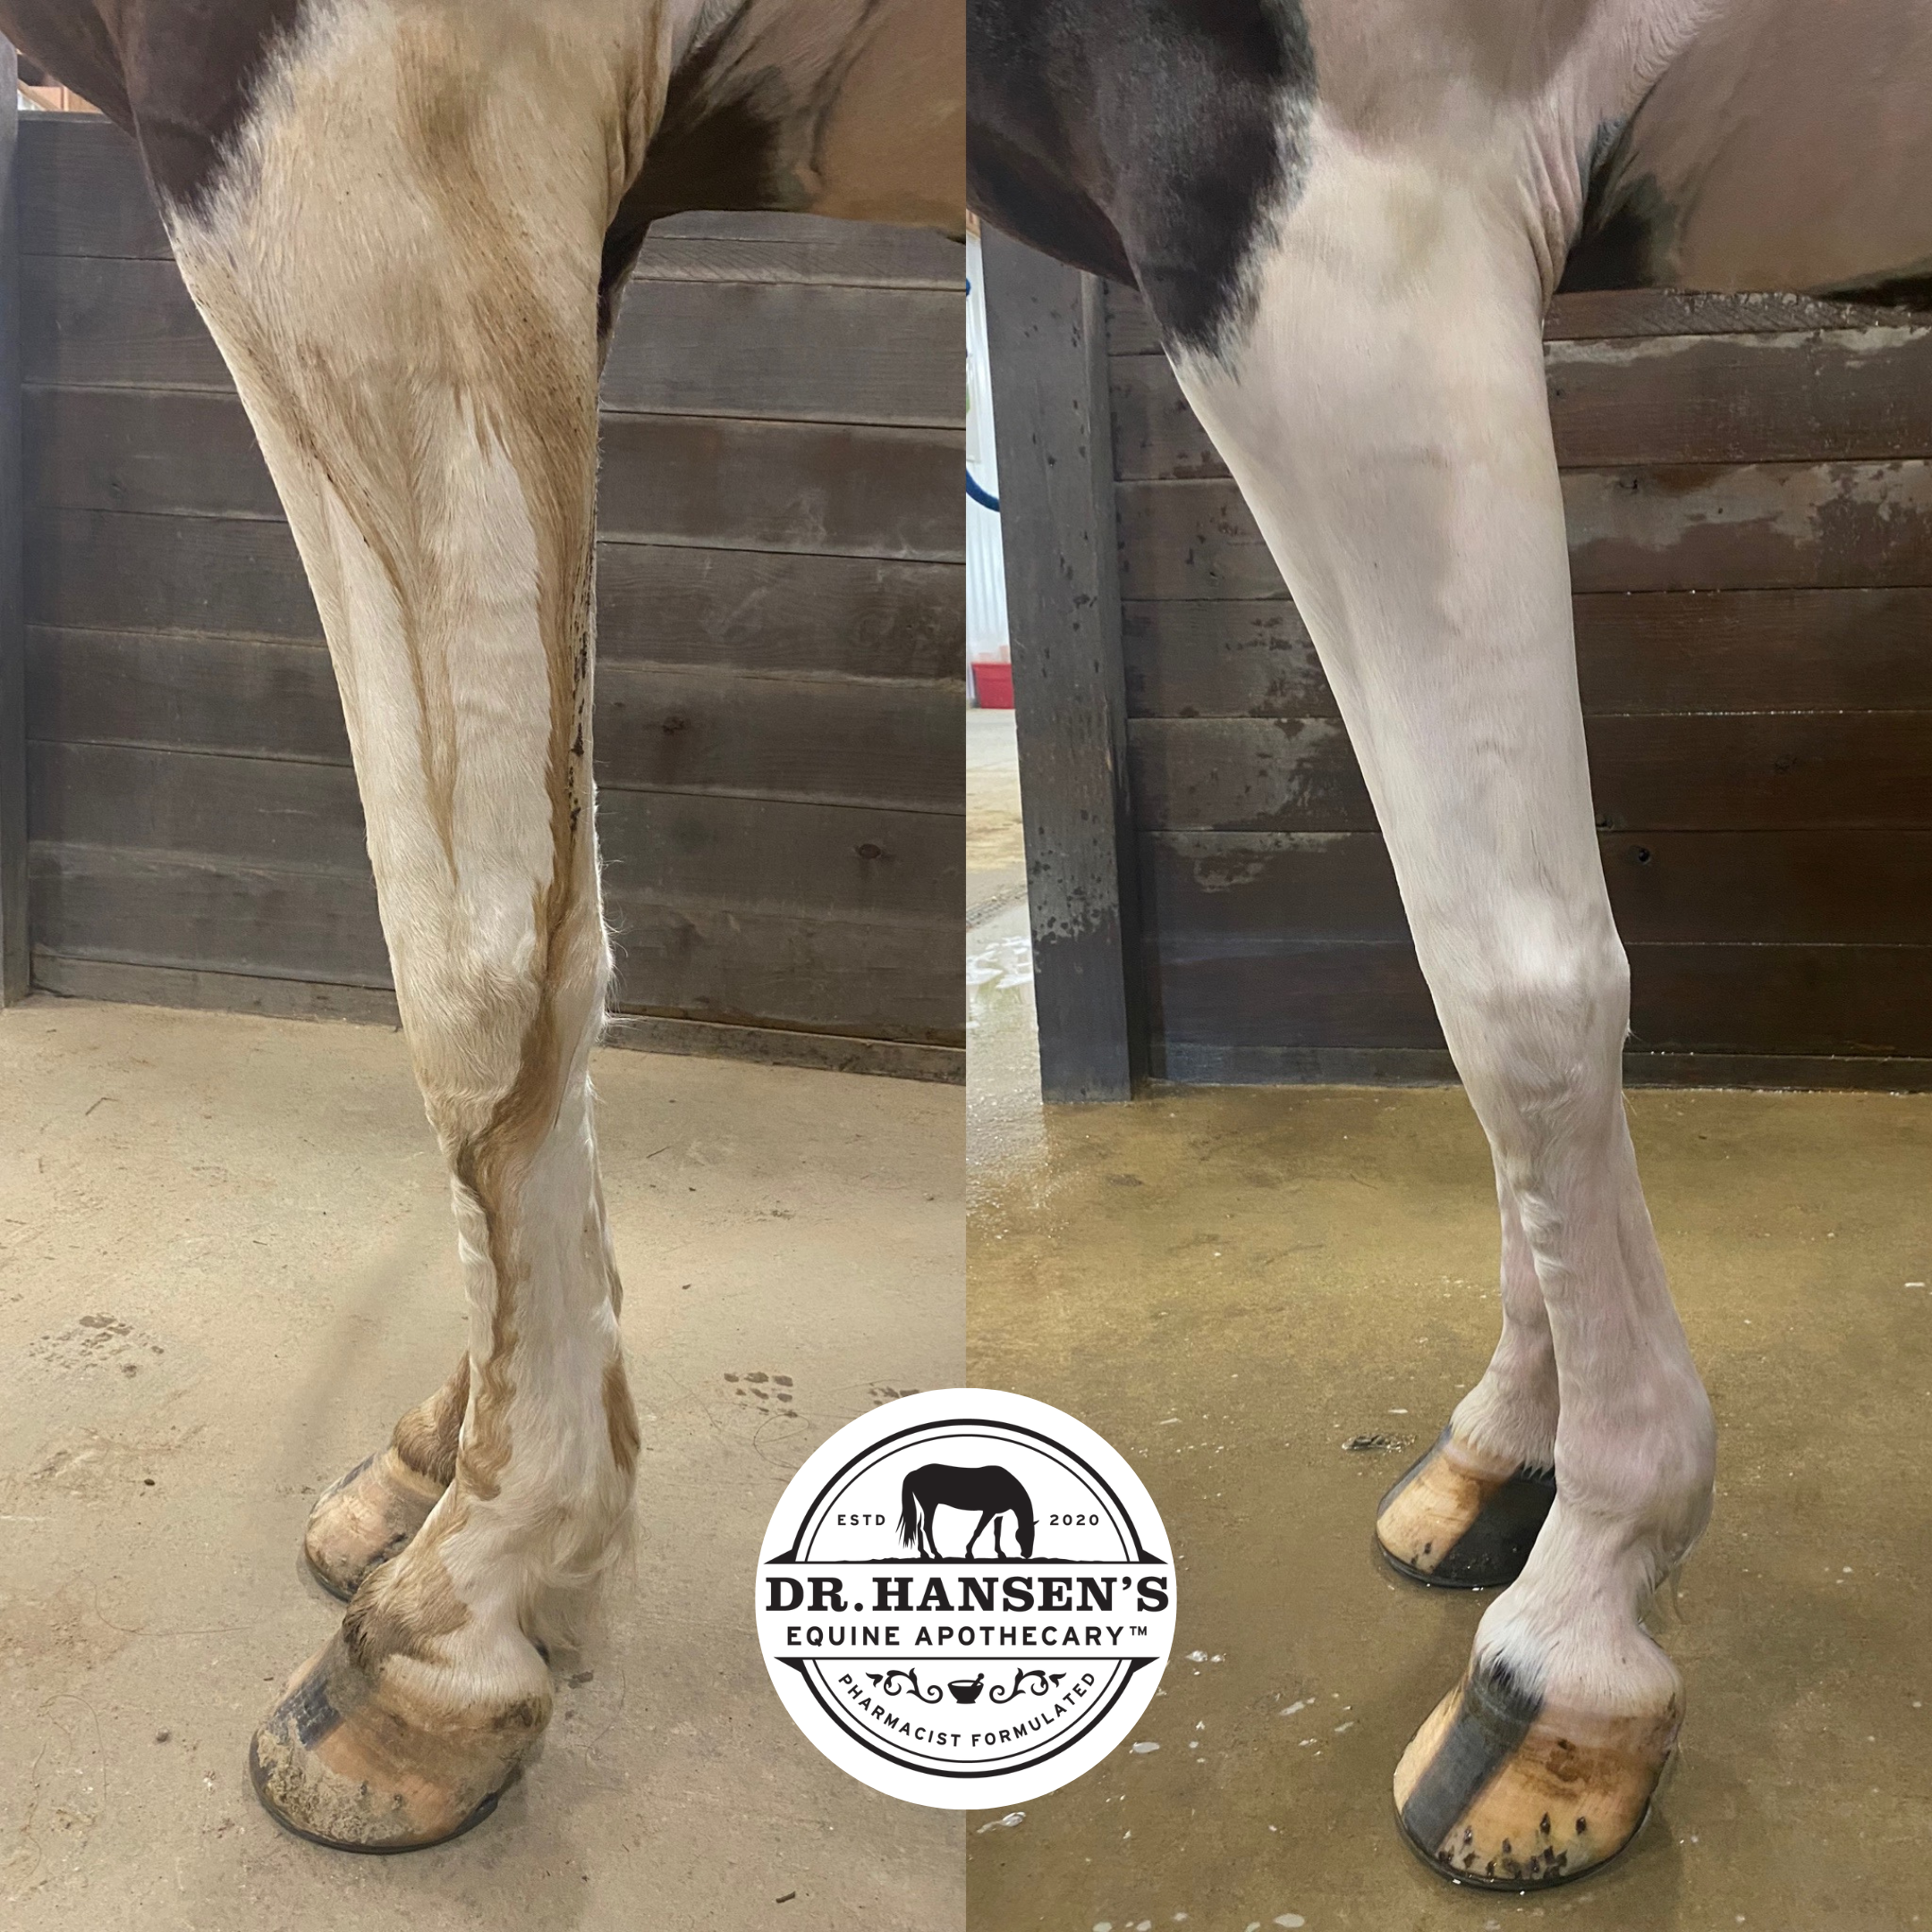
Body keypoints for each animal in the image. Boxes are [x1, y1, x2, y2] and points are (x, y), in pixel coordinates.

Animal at [898, 1462, 1037, 1558]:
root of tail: (916, 1472)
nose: (1027, 1555)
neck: (1007, 1486)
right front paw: (969, 1552)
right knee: (927, 1527)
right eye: (1026, 1535)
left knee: (919, 1526)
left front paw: (1000, 1552)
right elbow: (978, 1531)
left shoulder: (998, 1515)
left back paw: (923, 1553)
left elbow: (997, 1533)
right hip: (930, 1505)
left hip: (923, 1506)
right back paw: (936, 1553)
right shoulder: (989, 1511)